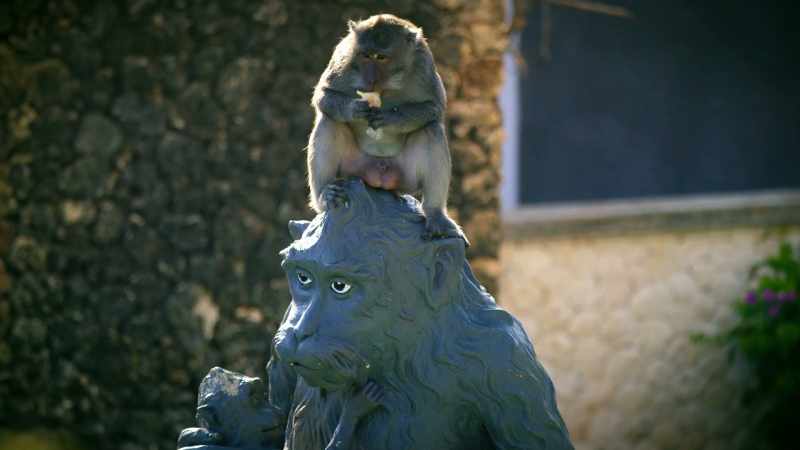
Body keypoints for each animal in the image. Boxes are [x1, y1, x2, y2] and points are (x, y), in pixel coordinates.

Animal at [307, 14, 466, 243]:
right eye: (366, 56)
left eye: (381, 57)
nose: (370, 79)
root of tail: (378, 175)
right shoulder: (344, 56)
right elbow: (323, 95)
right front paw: (355, 109)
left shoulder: (423, 62)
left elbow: (435, 107)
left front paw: (391, 117)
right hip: (354, 168)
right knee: (329, 121)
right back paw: (324, 195)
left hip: (406, 176)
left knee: (431, 130)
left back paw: (436, 215)